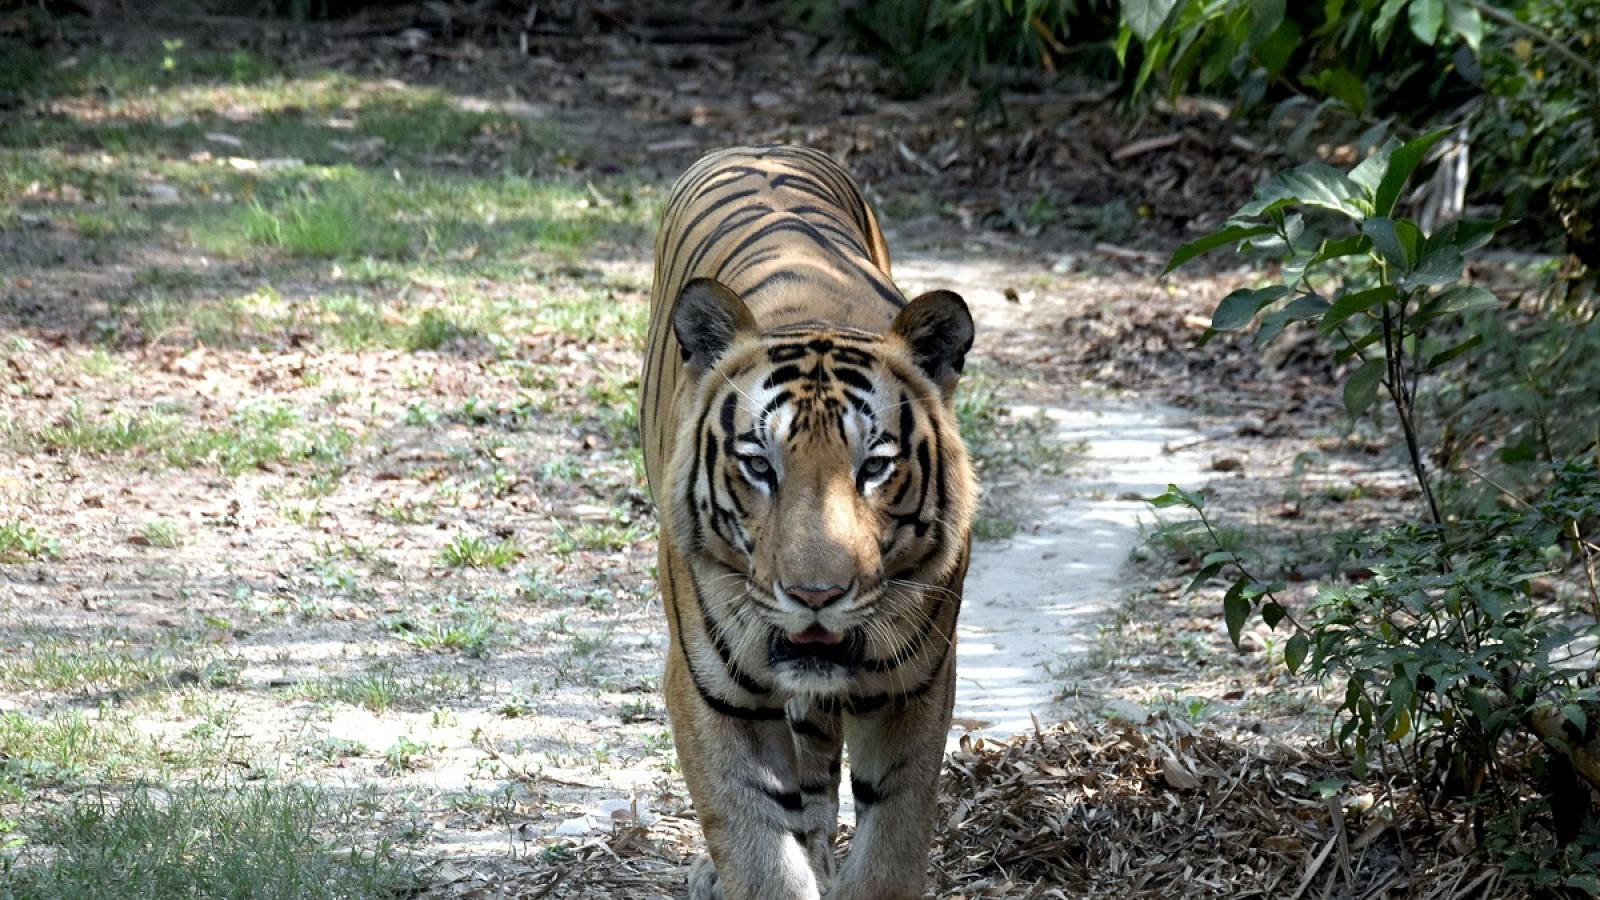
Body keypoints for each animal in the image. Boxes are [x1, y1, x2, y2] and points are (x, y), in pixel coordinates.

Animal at [637, 145, 977, 900]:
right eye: (759, 465)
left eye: (874, 466)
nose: (815, 595)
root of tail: (760, 145)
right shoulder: (709, 690)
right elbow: (759, 848)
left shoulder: (919, 685)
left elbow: (890, 845)